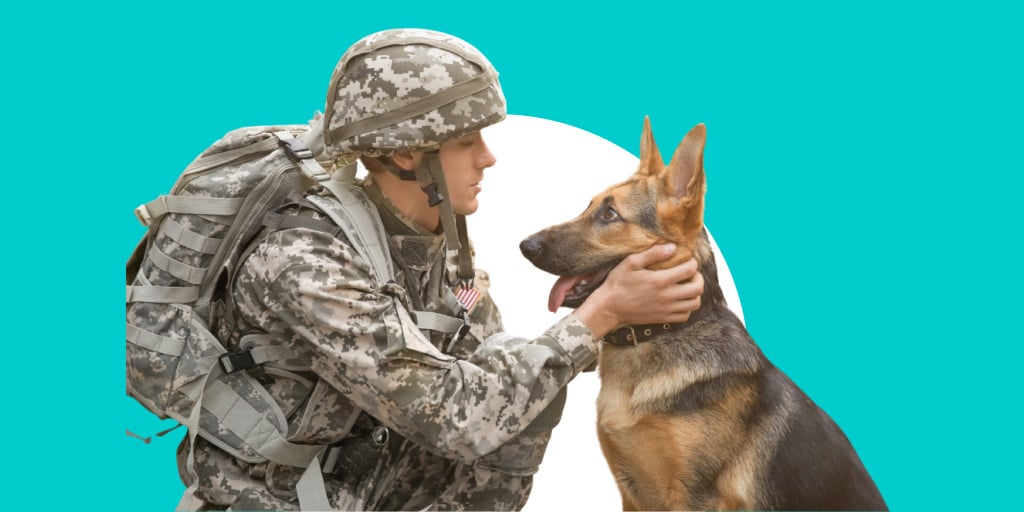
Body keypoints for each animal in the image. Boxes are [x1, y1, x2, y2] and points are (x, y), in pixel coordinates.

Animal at [520, 117, 888, 509]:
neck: (662, 330)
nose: (526, 246)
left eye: (609, 214)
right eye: (588, 206)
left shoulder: (694, 496)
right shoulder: (630, 494)